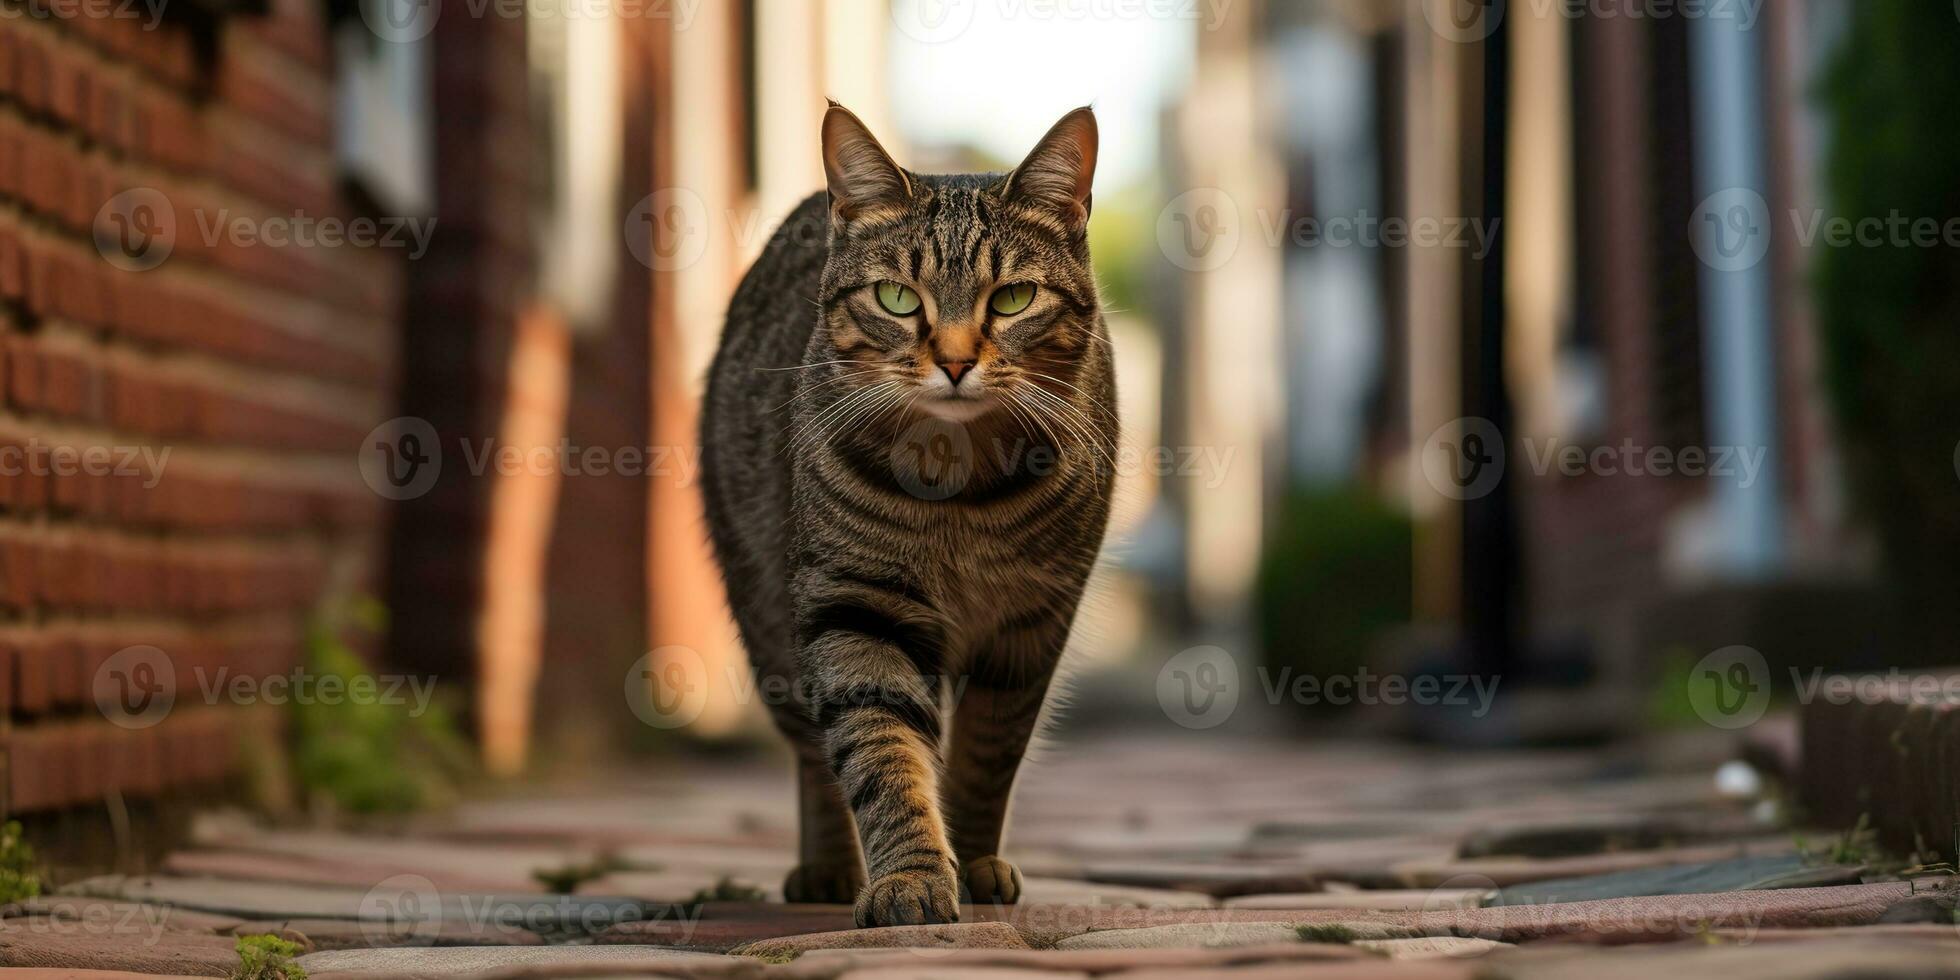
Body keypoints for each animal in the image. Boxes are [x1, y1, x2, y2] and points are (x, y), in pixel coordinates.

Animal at [697, 107, 1113, 925]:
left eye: (1012, 299)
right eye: (896, 297)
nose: (953, 361)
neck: (960, 490)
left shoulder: (1031, 625)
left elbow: (987, 755)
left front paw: (973, 861)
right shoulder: (858, 608)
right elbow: (882, 753)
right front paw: (912, 877)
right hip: (767, 620)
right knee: (813, 753)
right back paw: (828, 869)